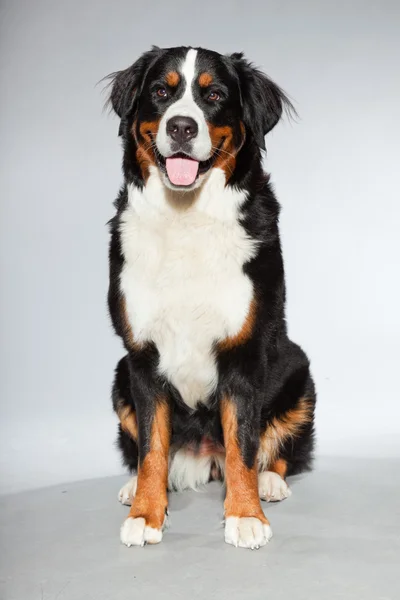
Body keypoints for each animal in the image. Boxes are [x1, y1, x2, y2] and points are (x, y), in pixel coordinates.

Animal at [105, 44, 316, 552]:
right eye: (161, 92)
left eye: (214, 95)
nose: (182, 127)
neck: (186, 215)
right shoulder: (141, 357)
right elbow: (151, 446)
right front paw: (146, 513)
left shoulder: (243, 352)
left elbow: (243, 443)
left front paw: (245, 516)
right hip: (118, 375)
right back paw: (132, 486)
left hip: (299, 371)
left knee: (274, 449)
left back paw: (269, 482)